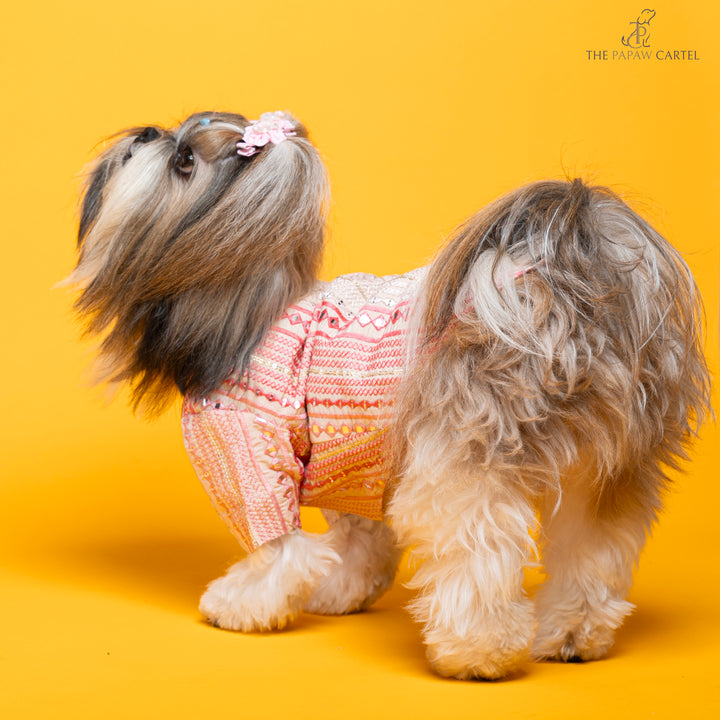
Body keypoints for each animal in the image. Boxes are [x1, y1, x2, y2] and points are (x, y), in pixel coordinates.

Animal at [70, 109, 712, 676]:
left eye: (182, 162)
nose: (145, 132)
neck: (246, 309)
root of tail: (564, 297)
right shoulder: (352, 465)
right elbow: (360, 539)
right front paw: (340, 589)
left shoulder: (248, 450)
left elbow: (277, 547)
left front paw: (241, 602)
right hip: (606, 469)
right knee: (592, 551)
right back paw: (571, 636)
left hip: (464, 462)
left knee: (478, 550)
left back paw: (475, 652)